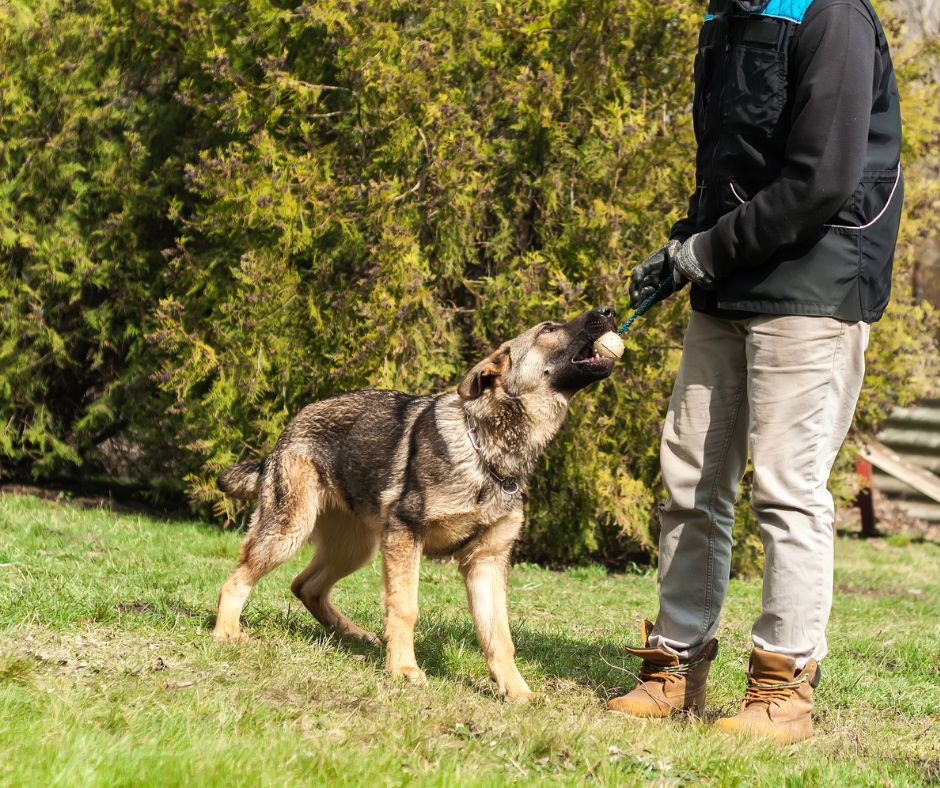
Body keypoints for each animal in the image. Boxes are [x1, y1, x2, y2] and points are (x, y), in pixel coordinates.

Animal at [217, 306, 620, 696]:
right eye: (548, 329)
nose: (609, 310)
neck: (487, 450)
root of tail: (286, 431)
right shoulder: (405, 536)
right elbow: (404, 607)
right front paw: (403, 668)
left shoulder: (485, 564)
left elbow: (499, 636)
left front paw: (517, 691)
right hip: (290, 532)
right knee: (236, 580)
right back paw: (226, 632)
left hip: (355, 549)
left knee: (305, 586)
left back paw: (352, 633)